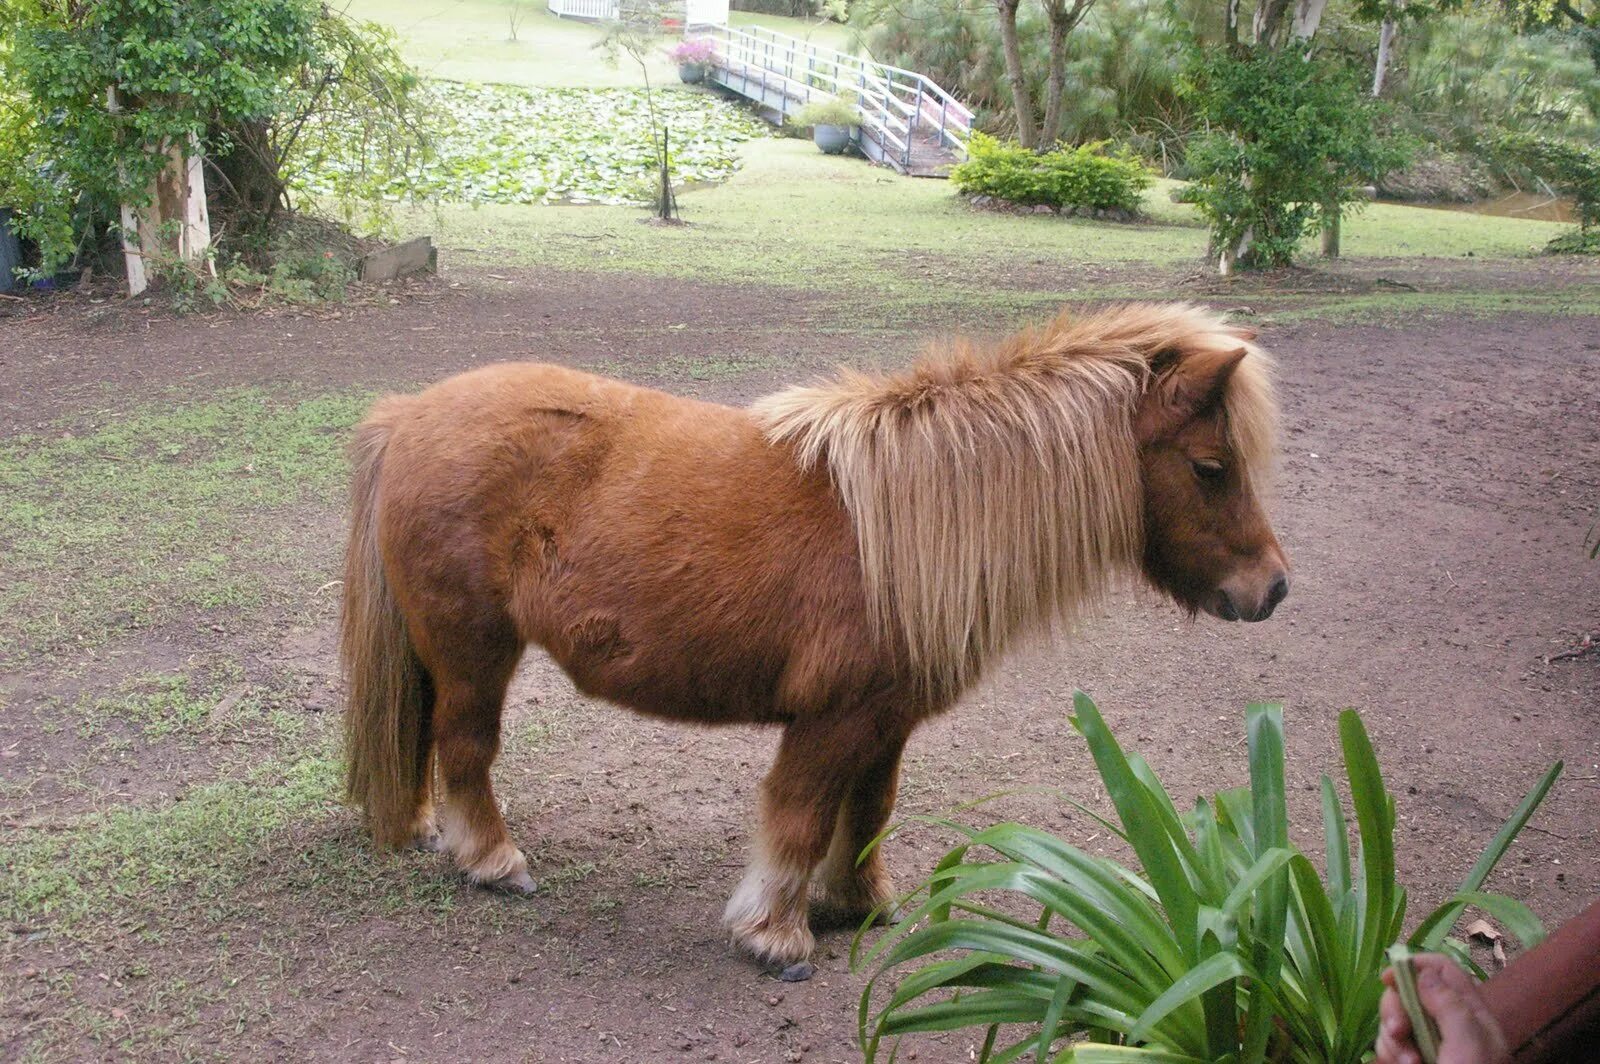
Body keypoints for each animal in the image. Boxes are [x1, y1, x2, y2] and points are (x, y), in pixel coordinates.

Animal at [337, 302, 1286, 972]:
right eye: (1211, 467)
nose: (1272, 588)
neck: (902, 529)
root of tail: (409, 414)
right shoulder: (830, 722)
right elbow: (796, 817)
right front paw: (775, 935)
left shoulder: (885, 723)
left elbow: (867, 811)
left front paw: (857, 903)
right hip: (474, 653)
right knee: (466, 747)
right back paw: (493, 861)